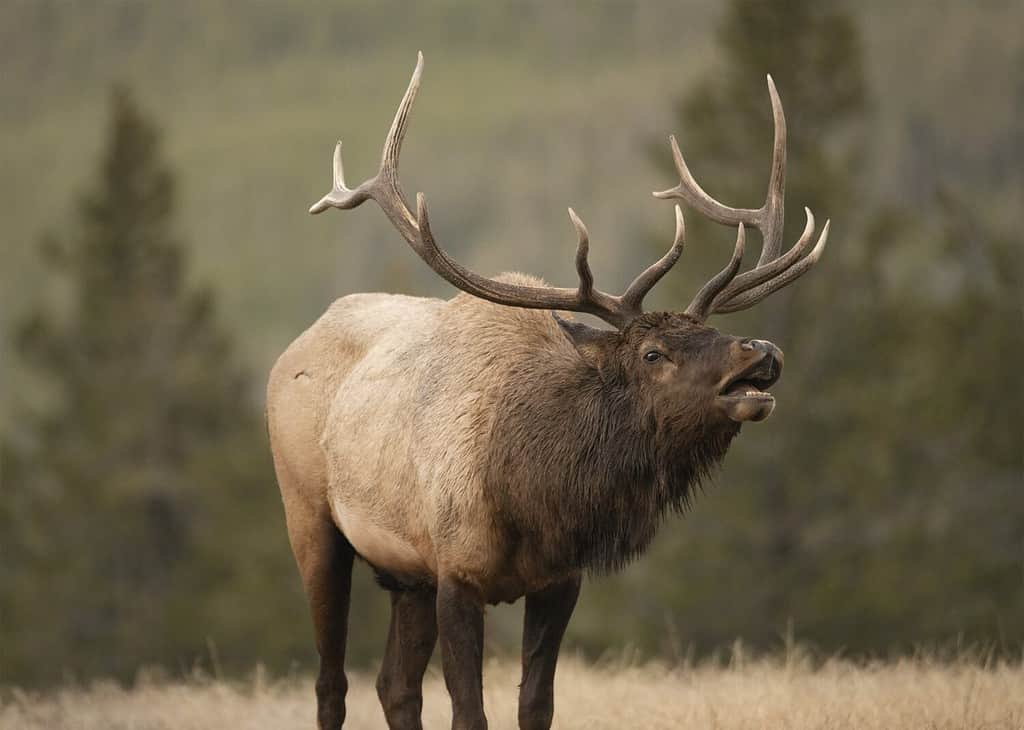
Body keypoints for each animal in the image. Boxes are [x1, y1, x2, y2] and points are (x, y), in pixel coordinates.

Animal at [266, 53, 828, 730]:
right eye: (652, 353)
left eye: (713, 332)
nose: (761, 351)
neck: (534, 493)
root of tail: (292, 349)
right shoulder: (456, 573)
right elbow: (470, 713)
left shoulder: (558, 580)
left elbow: (536, 705)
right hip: (311, 520)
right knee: (332, 683)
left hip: (405, 575)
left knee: (393, 686)